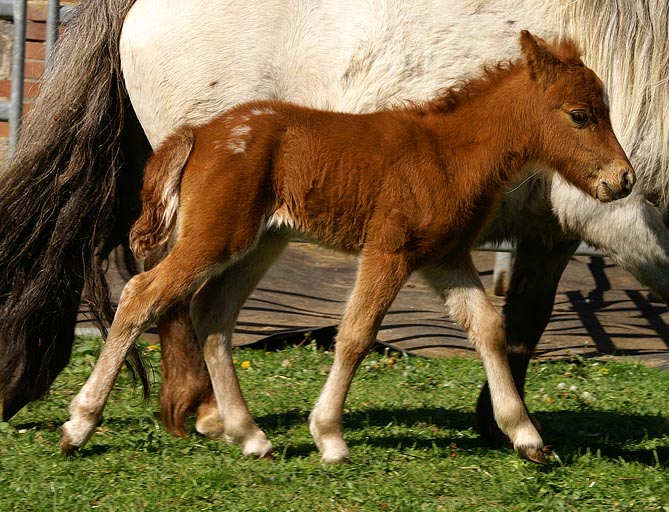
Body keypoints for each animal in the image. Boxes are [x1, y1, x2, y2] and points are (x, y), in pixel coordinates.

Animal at [0, 0, 664, 456]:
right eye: (580, 115)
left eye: (607, 107)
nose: (622, 179)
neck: (446, 147)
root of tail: (200, 135)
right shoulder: (392, 250)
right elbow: (355, 334)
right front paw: (330, 438)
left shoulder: (448, 256)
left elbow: (496, 326)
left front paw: (521, 433)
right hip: (216, 237)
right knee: (146, 294)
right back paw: (87, 424)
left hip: (258, 240)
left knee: (209, 310)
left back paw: (244, 431)